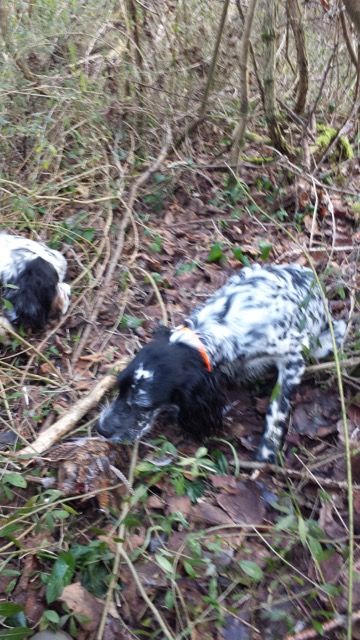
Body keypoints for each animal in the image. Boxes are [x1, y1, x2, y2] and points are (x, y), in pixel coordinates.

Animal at [97, 262, 344, 462]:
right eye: (119, 388)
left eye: (143, 405)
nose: (101, 429)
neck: (215, 330)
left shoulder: (292, 357)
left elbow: (277, 407)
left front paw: (267, 450)